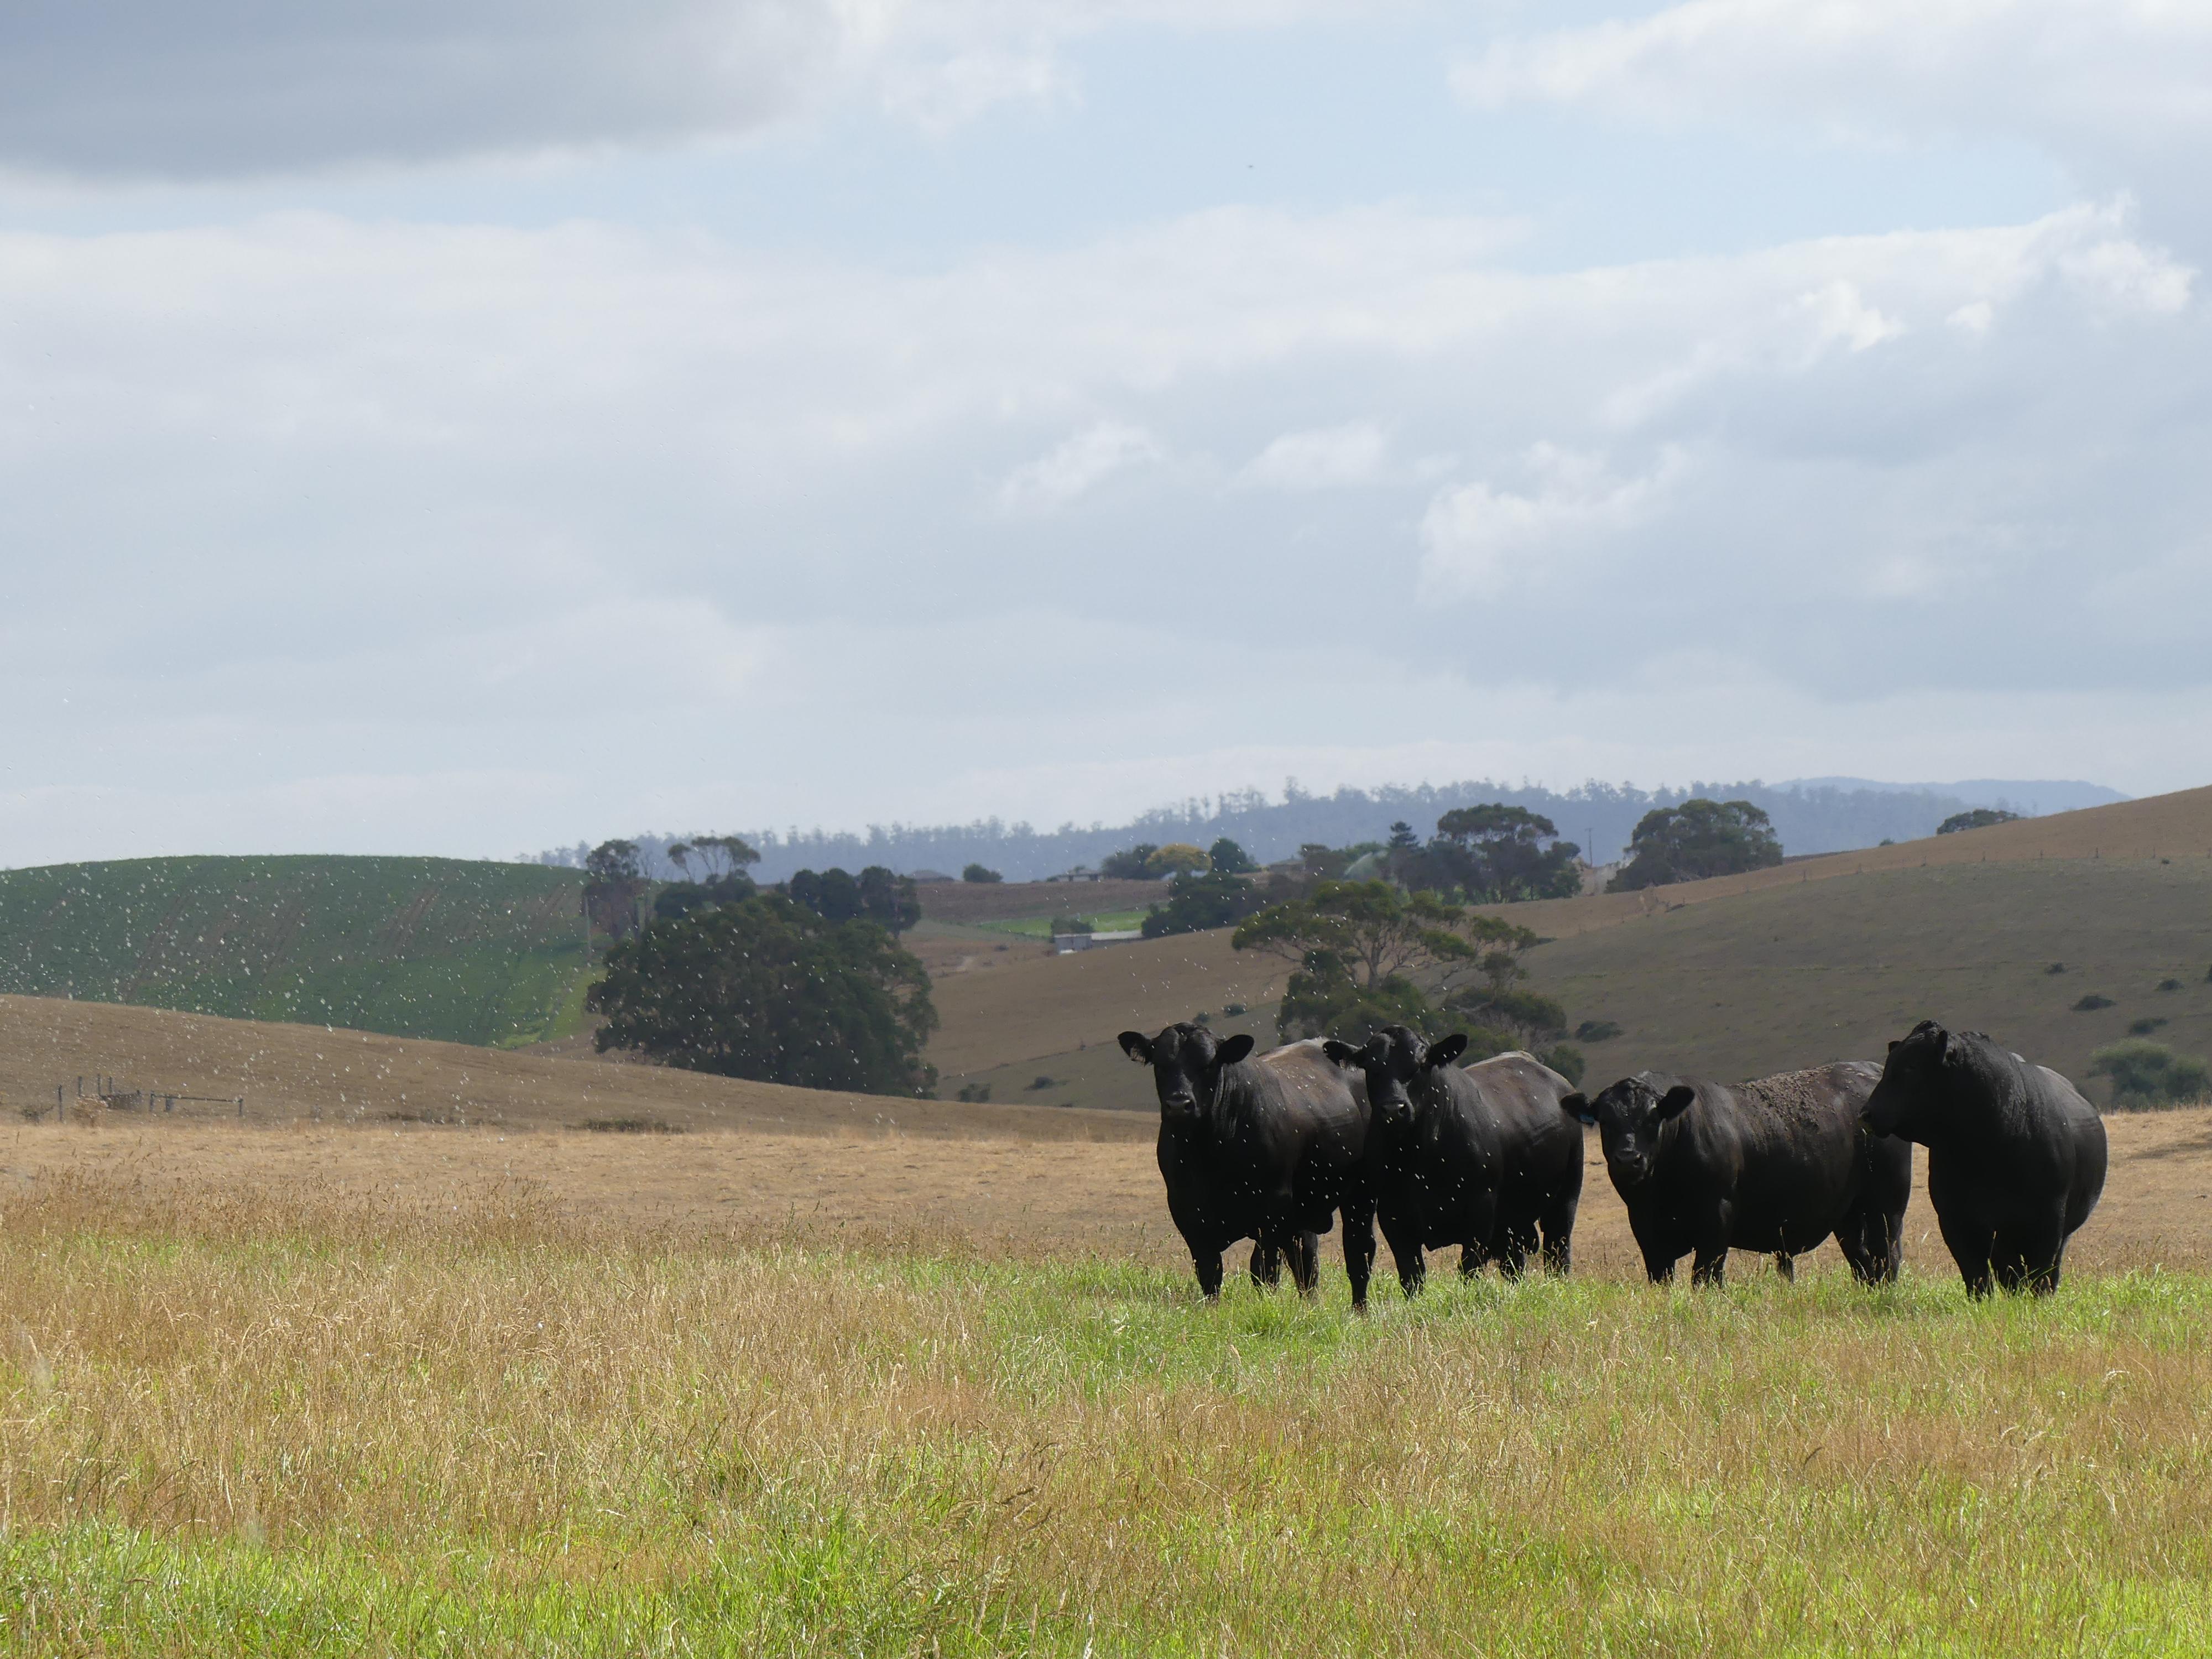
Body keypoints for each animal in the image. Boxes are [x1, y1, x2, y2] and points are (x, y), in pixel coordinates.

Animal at [1117, 1023, 1375, 1304]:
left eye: (1207, 1065)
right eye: (1161, 1065)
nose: (1178, 1105)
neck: (1207, 1155)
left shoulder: (1272, 1212)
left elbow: (1263, 1271)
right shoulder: (1188, 1215)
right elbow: (1210, 1274)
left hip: (1361, 1195)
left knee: (1359, 1253)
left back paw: (1359, 1308)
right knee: (1307, 1263)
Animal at [1320, 1027, 1582, 1297]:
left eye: (1421, 1065)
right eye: (1371, 1068)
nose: (1394, 1110)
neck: (1419, 1157)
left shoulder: (1480, 1213)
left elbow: (1469, 1271)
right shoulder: (1394, 1217)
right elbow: (1412, 1277)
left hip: (1566, 1197)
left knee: (1557, 1253)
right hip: (1511, 1223)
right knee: (1514, 1265)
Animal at [1564, 1062, 1911, 1287]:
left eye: (1652, 1120)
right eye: (1605, 1121)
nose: (1628, 1159)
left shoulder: (1717, 1222)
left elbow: (1706, 1279)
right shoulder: (1647, 1232)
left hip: (1887, 1207)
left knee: (1887, 1258)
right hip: (1848, 1217)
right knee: (1864, 1263)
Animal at [1863, 1020, 2106, 1296]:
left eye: (1911, 1067)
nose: (1866, 1114)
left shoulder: (2049, 1218)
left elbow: (2040, 1271)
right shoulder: (1956, 1219)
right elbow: (1977, 1274)